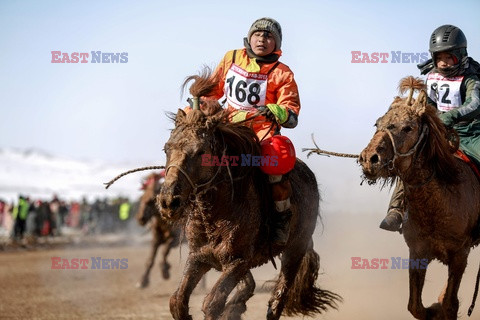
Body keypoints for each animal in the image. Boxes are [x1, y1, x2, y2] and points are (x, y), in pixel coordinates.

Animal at [157, 69, 338, 320]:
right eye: (167, 148)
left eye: (201, 151)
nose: (168, 202)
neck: (217, 214)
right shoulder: (199, 257)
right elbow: (177, 302)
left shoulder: (238, 262)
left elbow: (212, 303)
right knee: (249, 286)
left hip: (295, 250)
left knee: (277, 300)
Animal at [358, 76, 480, 318]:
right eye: (378, 124)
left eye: (408, 127)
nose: (370, 159)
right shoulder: (417, 252)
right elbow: (415, 306)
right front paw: (433, 308)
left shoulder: (459, 255)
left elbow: (450, 305)